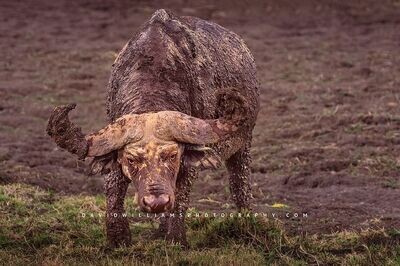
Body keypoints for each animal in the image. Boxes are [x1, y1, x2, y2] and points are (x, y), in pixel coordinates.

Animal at [47, 8, 260, 247]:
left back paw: (247, 227)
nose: (156, 202)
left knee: (239, 184)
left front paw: (176, 239)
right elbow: (113, 187)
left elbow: (181, 196)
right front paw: (118, 237)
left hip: (244, 143)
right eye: (131, 159)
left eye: (172, 156)